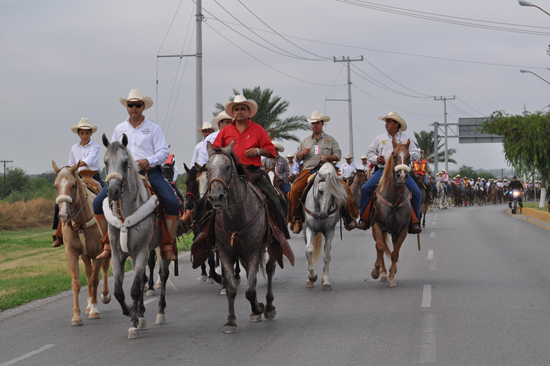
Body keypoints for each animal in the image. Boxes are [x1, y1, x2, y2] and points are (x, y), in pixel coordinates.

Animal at [52, 162, 111, 326]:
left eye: (73, 185)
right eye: (55, 186)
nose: (63, 215)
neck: (81, 222)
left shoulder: (98, 253)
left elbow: (95, 279)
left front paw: (95, 310)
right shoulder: (71, 253)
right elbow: (77, 283)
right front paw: (76, 316)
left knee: (103, 270)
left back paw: (104, 296)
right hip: (85, 256)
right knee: (88, 273)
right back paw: (89, 304)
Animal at [101, 133, 172, 338]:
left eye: (126, 162)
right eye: (105, 161)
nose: (113, 191)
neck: (125, 214)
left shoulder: (141, 251)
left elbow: (133, 289)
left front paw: (132, 324)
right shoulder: (118, 253)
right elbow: (119, 291)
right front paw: (130, 312)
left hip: (162, 248)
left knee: (163, 275)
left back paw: (160, 313)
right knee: (142, 282)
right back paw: (141, 315)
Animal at [207, 141, 284, 334]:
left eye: (227, 166)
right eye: (207, 168)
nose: (216, 197)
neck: (236, 217)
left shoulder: (253, 251)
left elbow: (249, 290)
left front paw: (259, 308)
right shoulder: (225, 253)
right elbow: (232, 288)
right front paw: (230, 321)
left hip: (271, 245)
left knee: (269, 269)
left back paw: (268, 307)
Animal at [302, 163, 350, 292]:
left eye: (333, 195)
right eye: (320, 191)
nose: (323, 215)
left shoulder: (329, 231)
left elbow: (327, 255)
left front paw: (326, 282)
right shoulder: (310, 228)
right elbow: (309, 250)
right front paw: (311, 277)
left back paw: (323, 278)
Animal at [368, 139, 420, 288]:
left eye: (408, 157)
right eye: (394, 155)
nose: (402, 176)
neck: (395, 200)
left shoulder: (402, 230)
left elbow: (395, 253)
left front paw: (392, 277)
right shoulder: (377, 225)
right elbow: (380, 247)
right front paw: (377, 271)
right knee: (380, 247)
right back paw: (382, 272)